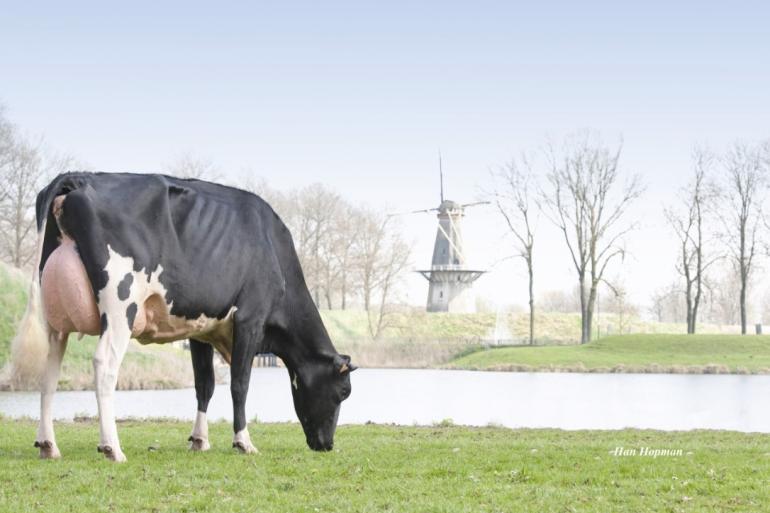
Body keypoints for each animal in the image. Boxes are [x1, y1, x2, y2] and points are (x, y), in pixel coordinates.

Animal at [12, 171, 354, 460]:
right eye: (343, 392)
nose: (327, 445)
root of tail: (78, 176)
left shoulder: (200, 328)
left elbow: (205, 384)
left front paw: (199, 440)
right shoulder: (250, 318)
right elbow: (239, 383)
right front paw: (243, 442)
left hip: (57, 319)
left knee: (49, 371)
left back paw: (48, 445)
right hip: (121, 303)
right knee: (105, 365)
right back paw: (112, 448)